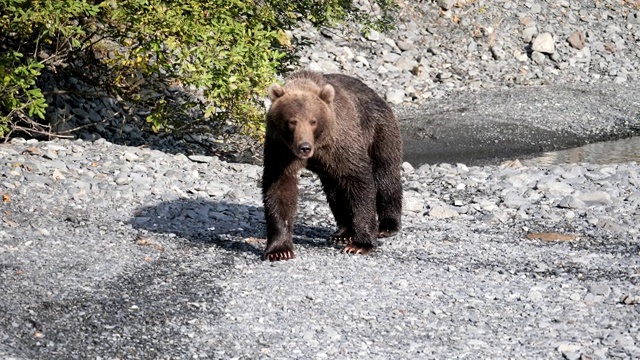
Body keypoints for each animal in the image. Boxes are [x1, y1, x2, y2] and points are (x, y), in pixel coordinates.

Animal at [260, 69, 400, 262]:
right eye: (292, 121)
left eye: (313, 121)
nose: (304, 147)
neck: (319, 144)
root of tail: (378, 95)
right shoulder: (280, 148)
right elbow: (279, 187)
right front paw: (279, 250)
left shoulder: (341, 142)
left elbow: (358, 180)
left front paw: (360, 245)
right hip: (330, 168)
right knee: (336, 191)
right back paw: (343, 233)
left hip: (379, 133)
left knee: (385, 176)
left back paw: (387, 225)